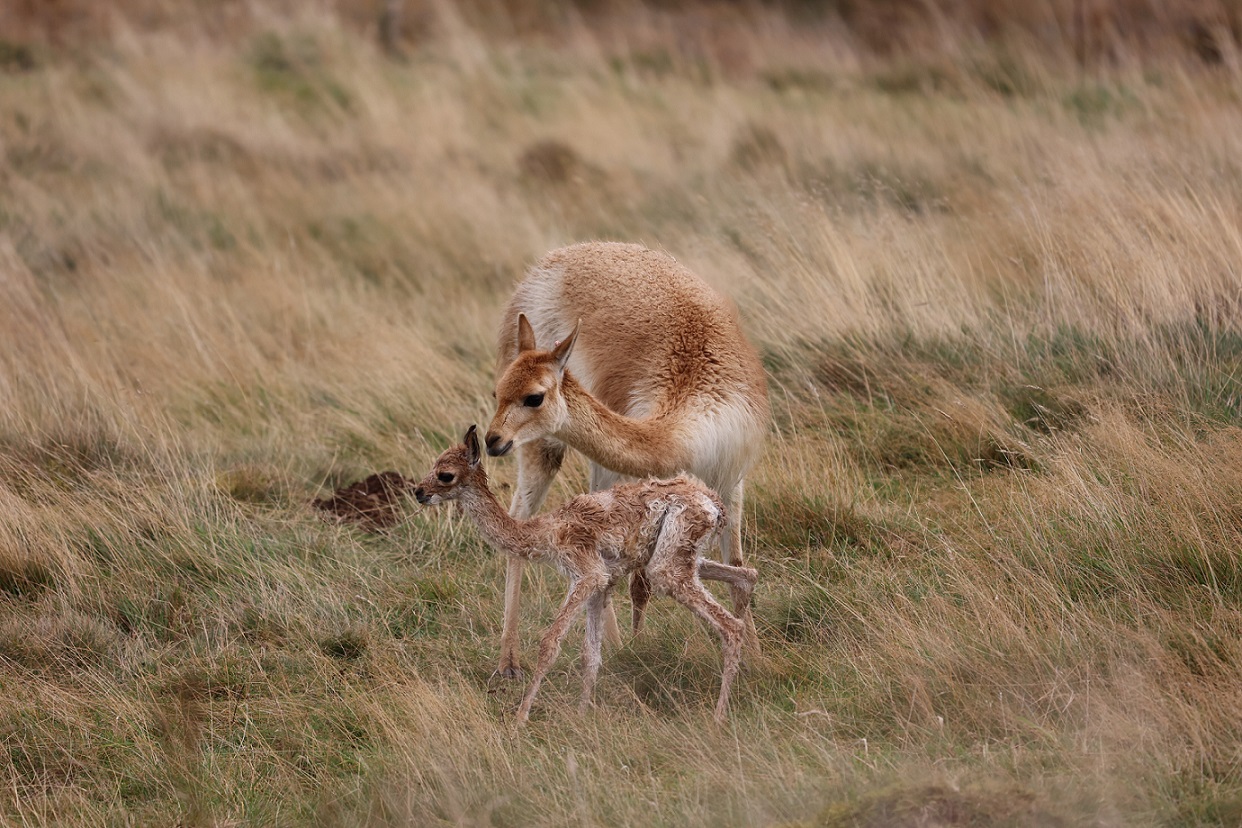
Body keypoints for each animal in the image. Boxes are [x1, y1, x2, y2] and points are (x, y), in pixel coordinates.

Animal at [417, 427, 755, 724]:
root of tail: (714, 504)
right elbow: (590, 655)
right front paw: (582, 716)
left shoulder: (586, 574)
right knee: (746, 575)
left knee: (731, 627)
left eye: (445, 474)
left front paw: (521, 717)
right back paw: (752, 665)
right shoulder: (601, 583)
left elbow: (549, 643)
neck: (542, 531)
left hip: (668, 565)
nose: (419, 492)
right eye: (433, 464)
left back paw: (718, 716)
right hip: (682, 558)